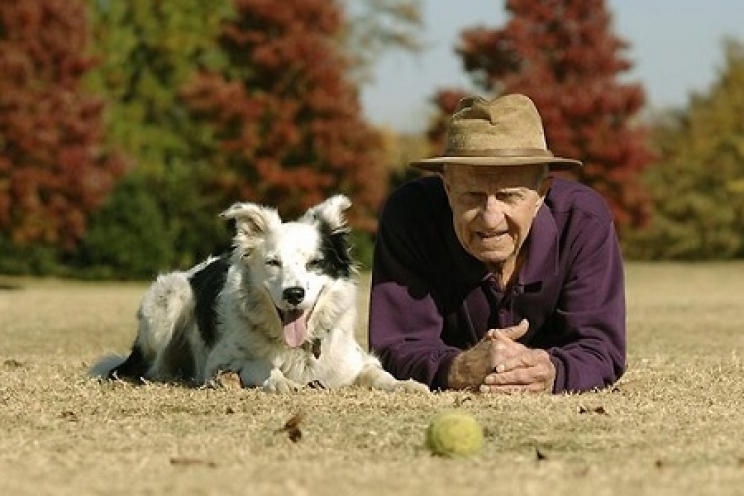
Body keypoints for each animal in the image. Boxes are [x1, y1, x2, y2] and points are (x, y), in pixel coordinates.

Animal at [92, 196, 428, 394]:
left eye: (314, 263)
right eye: (273, 262)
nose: (294, 294)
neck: (297, 348)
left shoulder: (354, 362)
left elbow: (377, 374)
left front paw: (407, 385)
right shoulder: (219, 359)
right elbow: (260, 366)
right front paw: (281, 382)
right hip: (169, 298)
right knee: (153, 369)